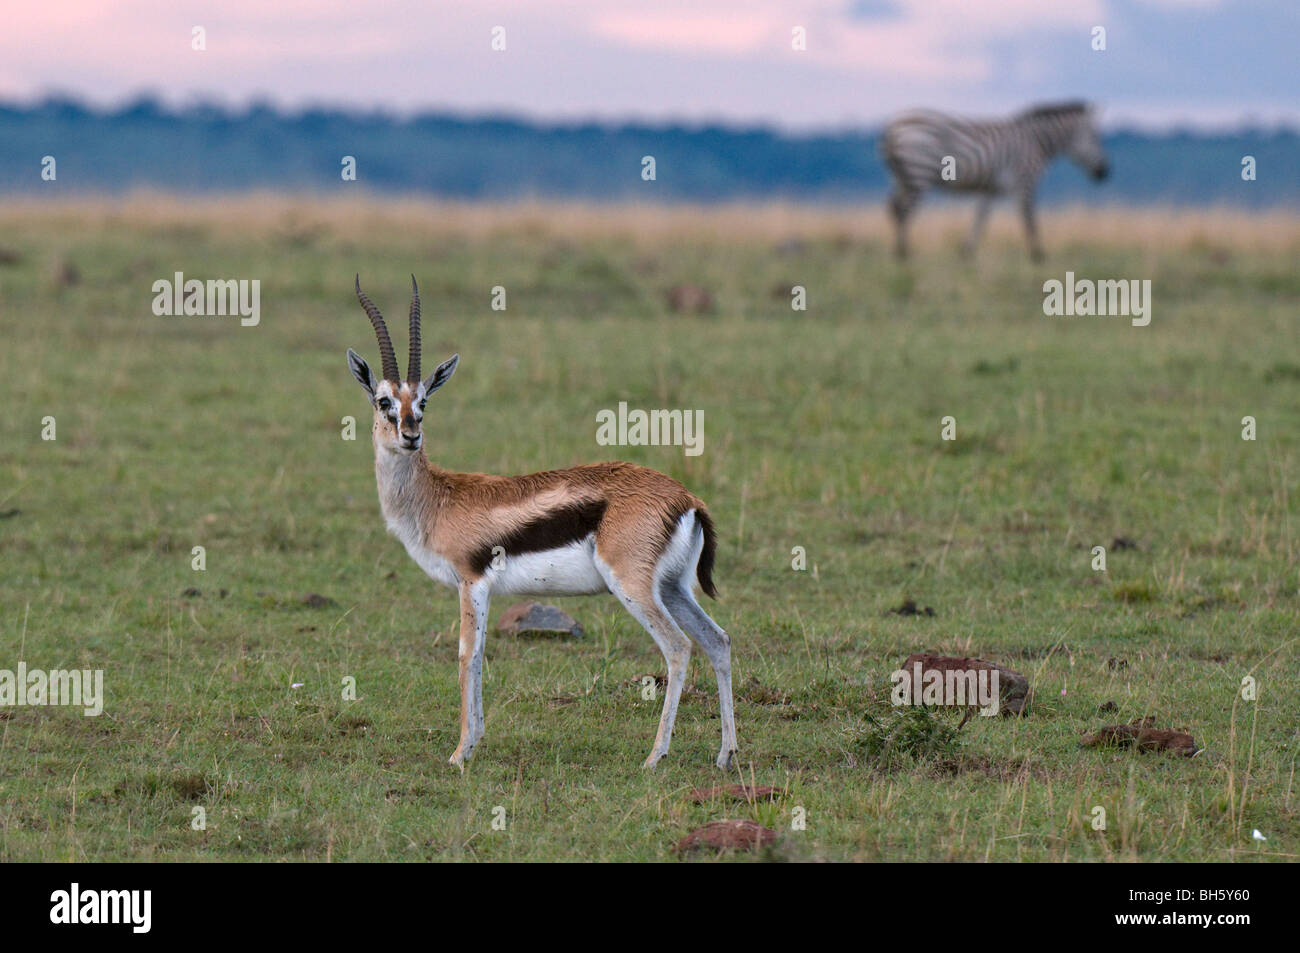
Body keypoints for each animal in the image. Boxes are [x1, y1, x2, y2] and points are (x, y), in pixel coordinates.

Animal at [873, 101, 1107, 260]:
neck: (1037, 142)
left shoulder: (991, 189)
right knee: (904, 211)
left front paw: (967, 252)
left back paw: (899, 252)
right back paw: (904, 254)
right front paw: (1038, 256)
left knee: (894, 208)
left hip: (902, 177)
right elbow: (1030, 219)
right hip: (919, 172)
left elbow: (981, 219)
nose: (1105, 172)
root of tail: (893, 128)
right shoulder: (1025, 182)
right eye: (1095, 138)